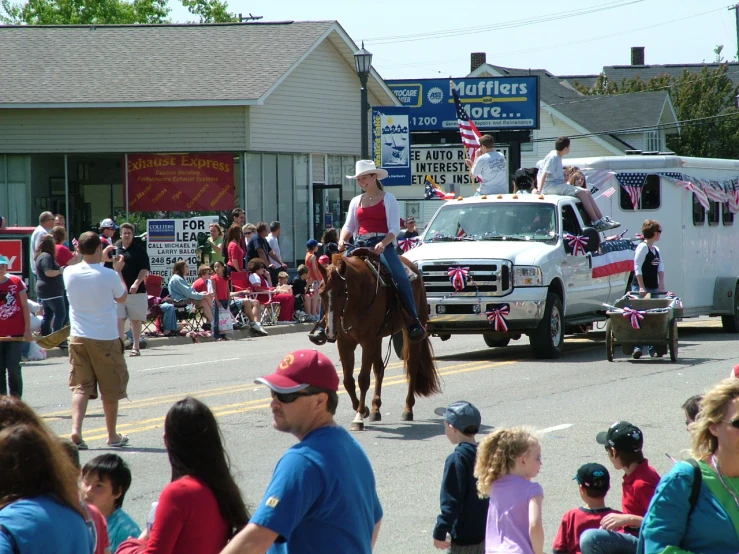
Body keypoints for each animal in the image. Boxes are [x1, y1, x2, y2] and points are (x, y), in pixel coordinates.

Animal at [316, 248, 440, 430]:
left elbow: (363, 379)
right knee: (379, 368)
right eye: (321, 293)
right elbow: (348, 380)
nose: (331, 330)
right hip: (378, 338)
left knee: (411, 367)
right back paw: (375, 409)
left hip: (412, 333)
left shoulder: (367, 341)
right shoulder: (345, 343)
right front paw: (365, 410)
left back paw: (407, 410)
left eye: (341, 293)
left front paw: (359, 416)